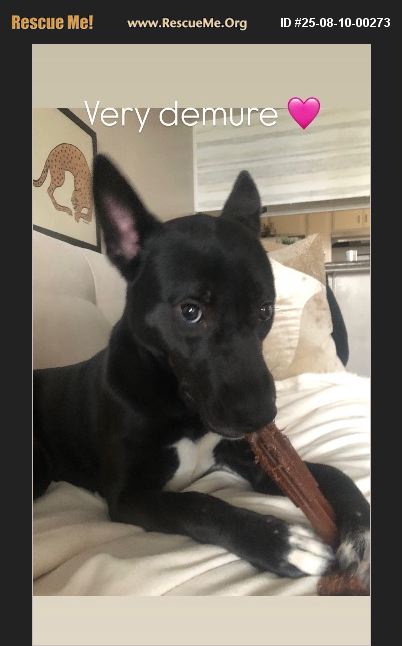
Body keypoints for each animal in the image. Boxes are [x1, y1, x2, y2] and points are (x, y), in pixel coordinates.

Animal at [33, 155, 369, 583]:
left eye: (266, 310)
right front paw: (282, 543)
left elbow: (328, 474)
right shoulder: (129, 497)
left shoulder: (251, 460)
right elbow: (199, 505)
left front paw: (360, 528)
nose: (262, 416)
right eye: (190, 311)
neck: (178, 405)